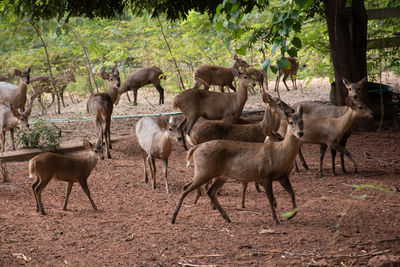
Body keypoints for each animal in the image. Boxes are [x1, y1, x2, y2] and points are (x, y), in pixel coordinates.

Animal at [170, 104, 304, 226]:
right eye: (291, 122)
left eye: (302, 121)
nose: (300, 133)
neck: (281, 154)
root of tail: (196, 148)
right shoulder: (266, 175)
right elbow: (270, 198)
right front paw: (276, 220)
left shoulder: (283, 176)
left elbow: (292, 193)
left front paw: (290, 216)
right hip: (204, 171)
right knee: (186, 187)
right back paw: (173, 218)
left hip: (220, 175)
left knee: (210, 192)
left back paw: (227, 218)